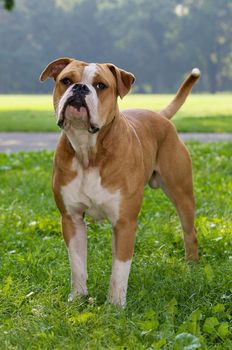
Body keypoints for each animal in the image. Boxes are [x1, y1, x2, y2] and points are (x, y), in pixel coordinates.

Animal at [39, 58, 199, 308]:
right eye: (66, 80)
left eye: (101, 85)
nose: (80, 88)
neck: (88, 151)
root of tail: (159, 116)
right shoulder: (71, 219)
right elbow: (77, 264)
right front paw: (78, 297)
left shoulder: (124, 223)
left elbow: (120, 269)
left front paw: (115, 305)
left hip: (182, 195)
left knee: (190, 233)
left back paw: (192, 268)